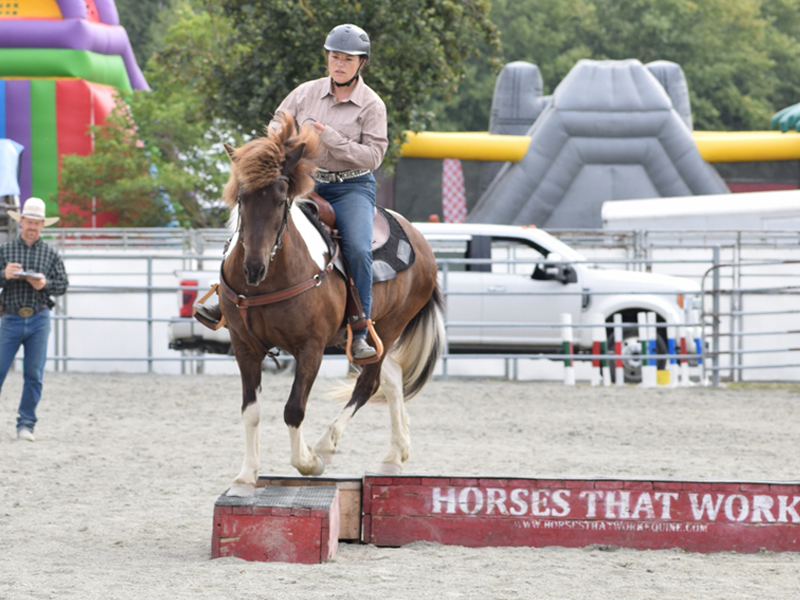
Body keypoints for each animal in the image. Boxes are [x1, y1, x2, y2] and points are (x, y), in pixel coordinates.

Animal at [218, 114, 445, 496]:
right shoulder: (244, 345)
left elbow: (294, 409)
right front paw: (245, 477)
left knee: (369, 384)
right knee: (392, 377)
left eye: (280, 200)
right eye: (242, 197)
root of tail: (420, 240)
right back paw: (395, 456)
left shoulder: (310, 348)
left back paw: (327, 444)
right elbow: (251, 411)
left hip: (387, 327)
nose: (253, 268)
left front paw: (309, 461)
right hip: (359, 338)